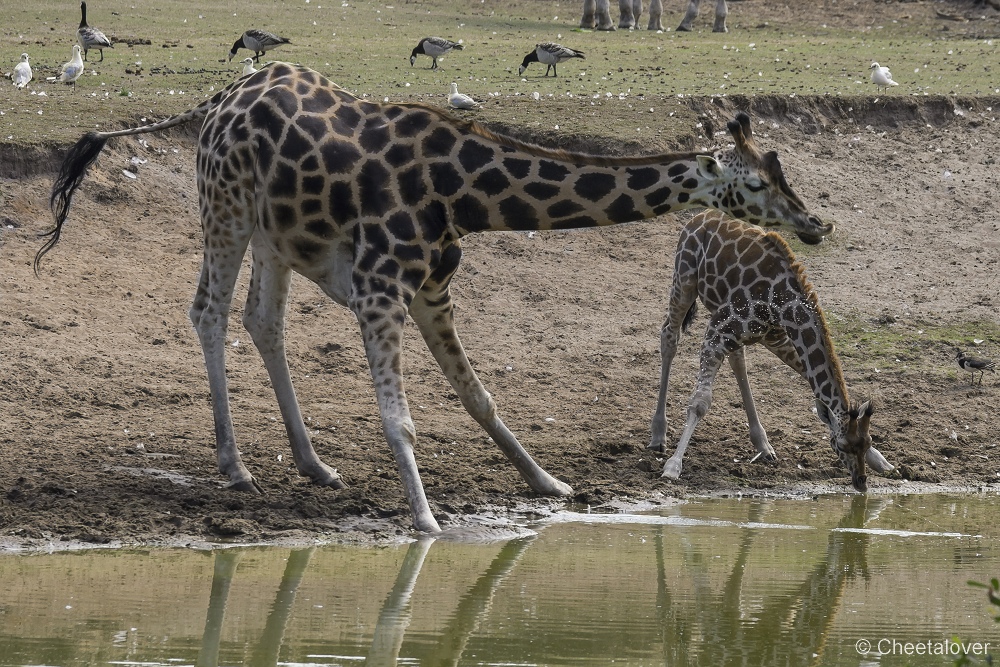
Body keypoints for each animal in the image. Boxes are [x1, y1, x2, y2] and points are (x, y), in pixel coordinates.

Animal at [41, 61, 828, 532]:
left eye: (780, 172)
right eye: (755, 182)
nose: (816, 222)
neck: (463, 192)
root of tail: (218, 98)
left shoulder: (430, 289)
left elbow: (480, 398)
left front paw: (548, 482)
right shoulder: (381, 288)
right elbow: (403, 419)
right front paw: (424, 519)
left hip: (276, 231)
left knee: (262, 321)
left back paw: (313, 464)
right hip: (224, 206)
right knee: (207, 311)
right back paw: (235, 466)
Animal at [652, 211, 896, 494]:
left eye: (867, 442)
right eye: (842, 445)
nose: (861, 483)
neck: (782, 304)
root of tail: (700, 216)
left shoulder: (774, 338)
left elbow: (813, 381)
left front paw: (881, 461)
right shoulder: (716, 332)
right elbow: (700, 403)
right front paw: (673, 466)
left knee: (737, 359)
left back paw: (763, 445)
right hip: (684, 280)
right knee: (669, 336)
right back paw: (658, 434)